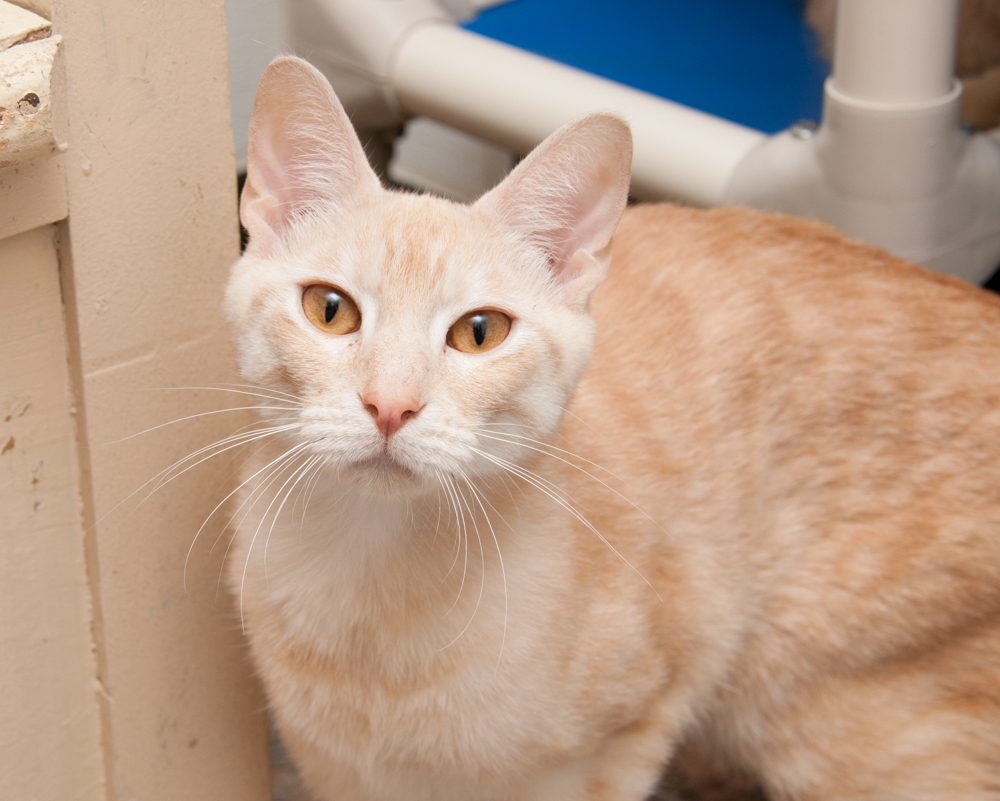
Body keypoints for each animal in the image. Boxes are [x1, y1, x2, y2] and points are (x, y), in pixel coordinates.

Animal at [225, 57, 1000, 800]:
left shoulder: (637, 723)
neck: (368, 593)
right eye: (330, 310)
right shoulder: (332, 765)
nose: (391, 405)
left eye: (480, 332)